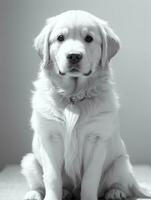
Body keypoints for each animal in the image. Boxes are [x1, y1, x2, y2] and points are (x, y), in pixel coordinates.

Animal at [20, 10, 150, 200]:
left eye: (89, 38)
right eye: (60, 38)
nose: (74, 56)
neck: (73, 97)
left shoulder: (96, 139)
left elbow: (90, 178)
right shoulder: (51, 138)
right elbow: (52, 177)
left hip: (121, 162)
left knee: (120, 183)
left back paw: (115, 192)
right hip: (29, 161)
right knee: (38, 182)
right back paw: (39, 193)